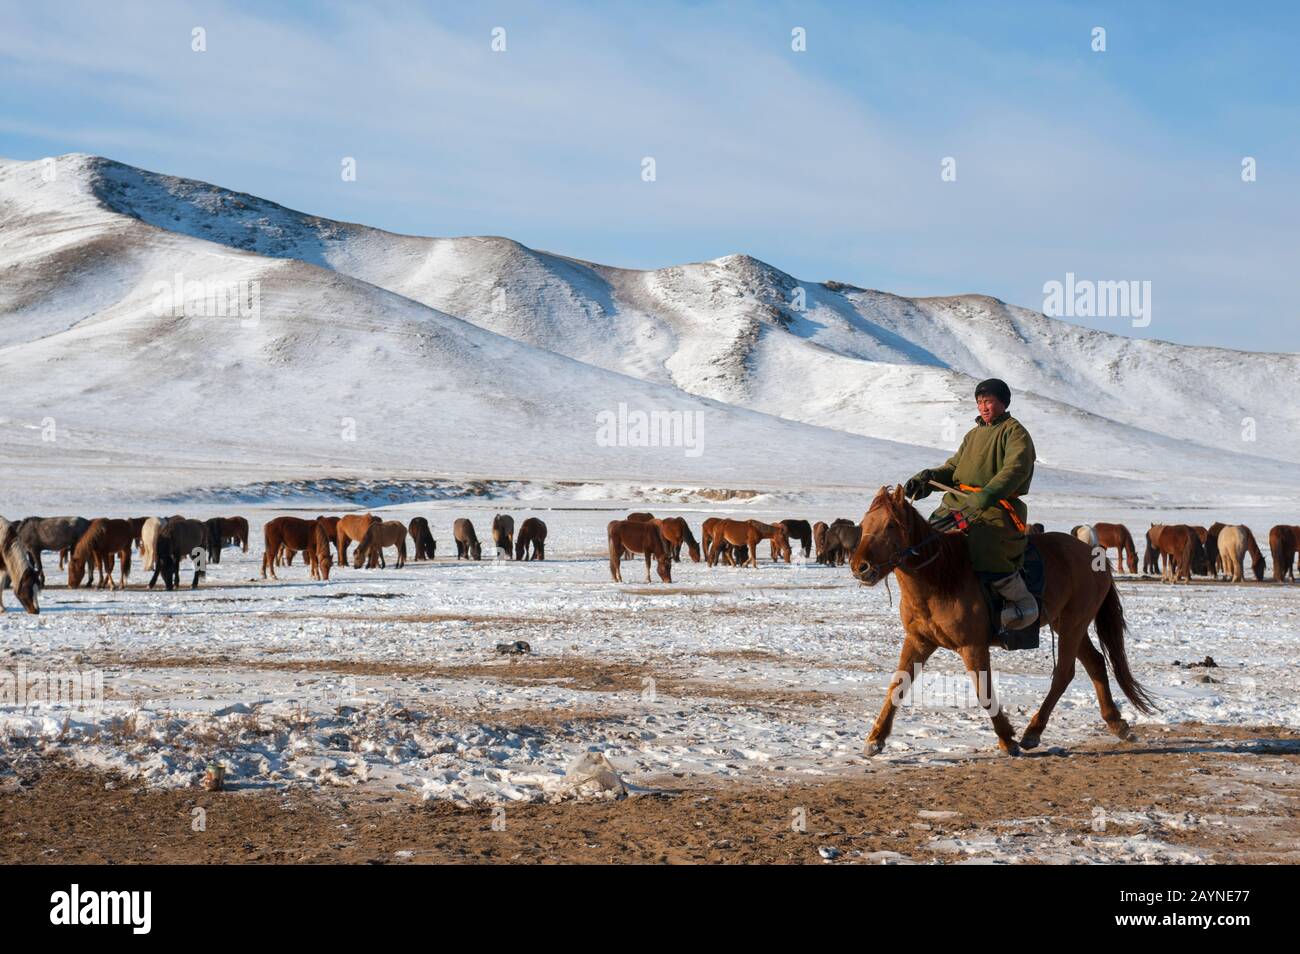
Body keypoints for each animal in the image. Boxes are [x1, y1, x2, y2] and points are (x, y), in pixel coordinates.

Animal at [852, 488, 1159, 759]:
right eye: (864, 524)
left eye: (891, 525)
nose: (860, 567)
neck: (940, 576)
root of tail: (1093, 553)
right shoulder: (919, 641)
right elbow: (898, 684)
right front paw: (875, 740)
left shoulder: (973, 646)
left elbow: (983, 690)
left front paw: (1007, 739)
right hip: (1067, 624)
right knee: (1095, 662)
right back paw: (1117, 724)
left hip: (1073, 624)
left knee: (1064, 673)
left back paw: (1033, 732)